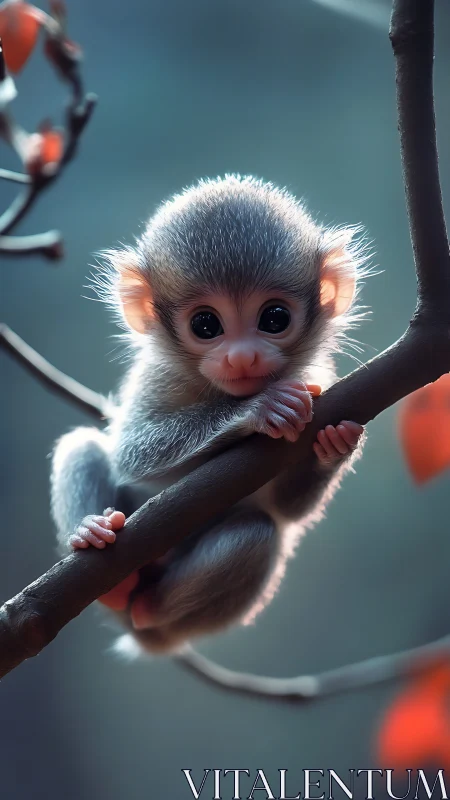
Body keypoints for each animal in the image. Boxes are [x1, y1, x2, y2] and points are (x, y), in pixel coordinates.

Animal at [50, 174, 367, 655]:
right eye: (205, 325)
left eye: (274, 318)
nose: (242, 357)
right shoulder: (156, 377)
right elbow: (131, 454)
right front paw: (260, 408)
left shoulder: (316, 377)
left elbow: (288, 512)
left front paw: (335, 444)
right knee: (84, 447)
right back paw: (93, 541)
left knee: (257, 535)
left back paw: (150, 607)